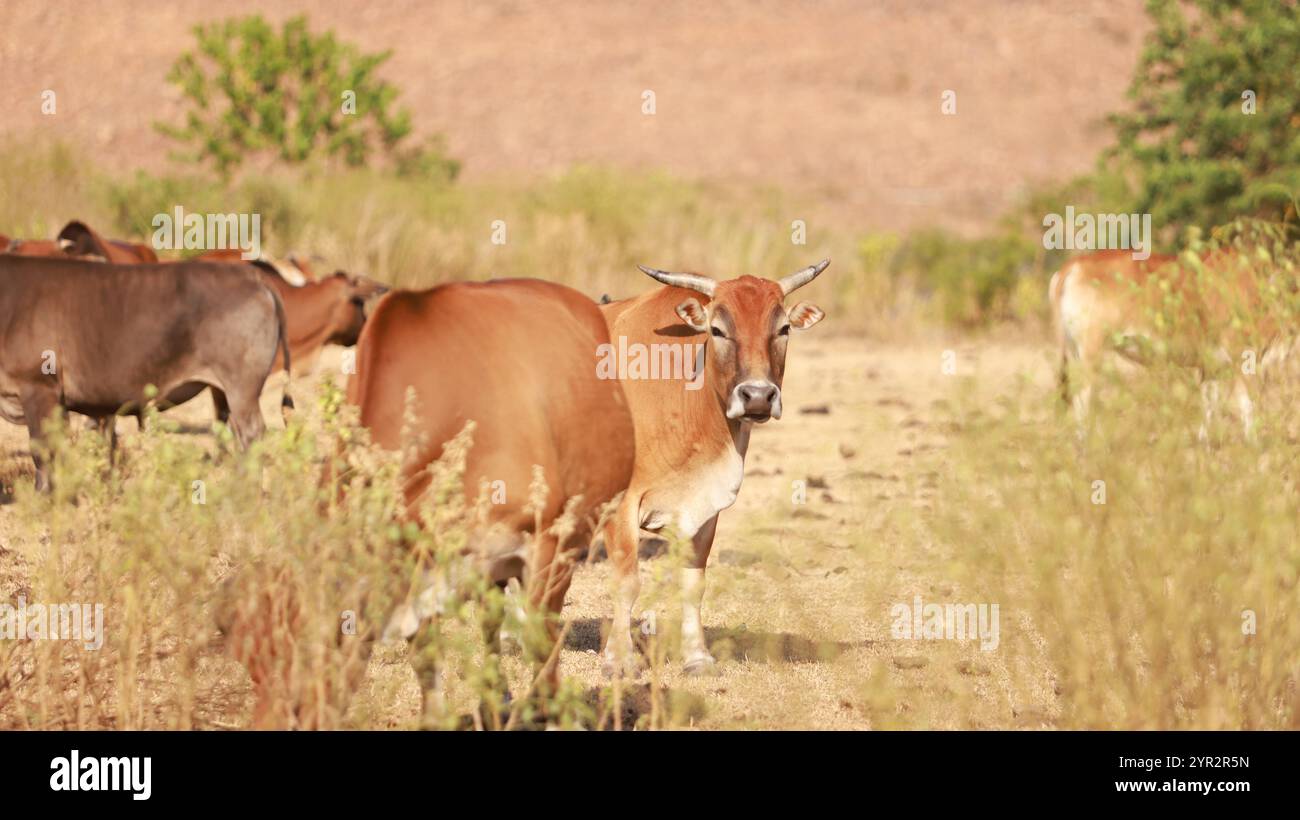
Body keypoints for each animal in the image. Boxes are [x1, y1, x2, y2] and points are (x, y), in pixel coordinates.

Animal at [0, 257, 289, 488]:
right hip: (222, 391)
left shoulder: (38, 389)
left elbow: (42, 453)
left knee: (251, 435)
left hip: (242, 389)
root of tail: (250, 274)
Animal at [595, 261, 826, 675]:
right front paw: (619, 661)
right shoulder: (620, 505)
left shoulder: (705, 509)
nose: (757, 396)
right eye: (717, 330)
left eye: (783, 328)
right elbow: (627, 582)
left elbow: (693, 584)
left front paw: (698, 656)